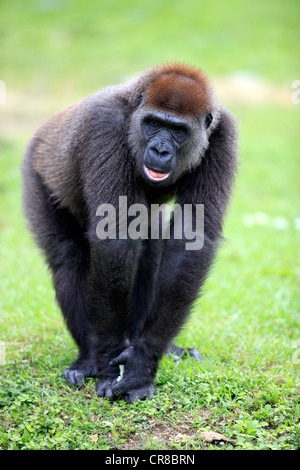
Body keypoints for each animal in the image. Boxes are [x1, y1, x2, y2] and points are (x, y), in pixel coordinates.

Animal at [21, 63, 237, 404]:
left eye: (178, 130)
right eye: (154, 123)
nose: (160, 149)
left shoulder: (223, 133)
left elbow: (190, 237)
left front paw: (143, 360)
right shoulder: (105, 125)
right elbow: (114, 240)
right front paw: (110, 359)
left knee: (148, 255)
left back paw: (151, 344)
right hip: (37, 169)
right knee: (67, 255)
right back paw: (89, 357)